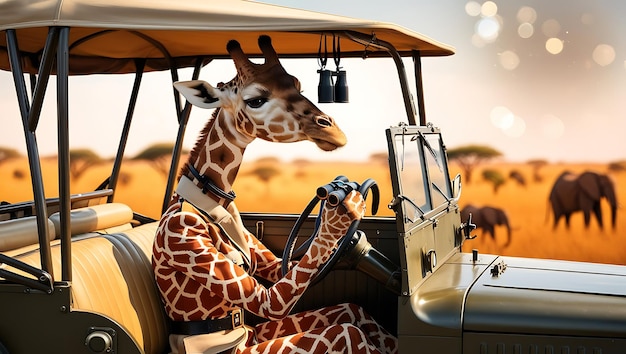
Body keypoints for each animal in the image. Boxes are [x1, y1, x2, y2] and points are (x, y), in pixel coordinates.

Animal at [151, 36, 394, 354]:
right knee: (348, 330)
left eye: (298, 84)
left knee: (352, 311)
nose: (335, 133)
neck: (207, 196)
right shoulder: (183, 234)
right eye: (255, 100)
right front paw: (341, 215)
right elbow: (269, 301)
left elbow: (281, 266)